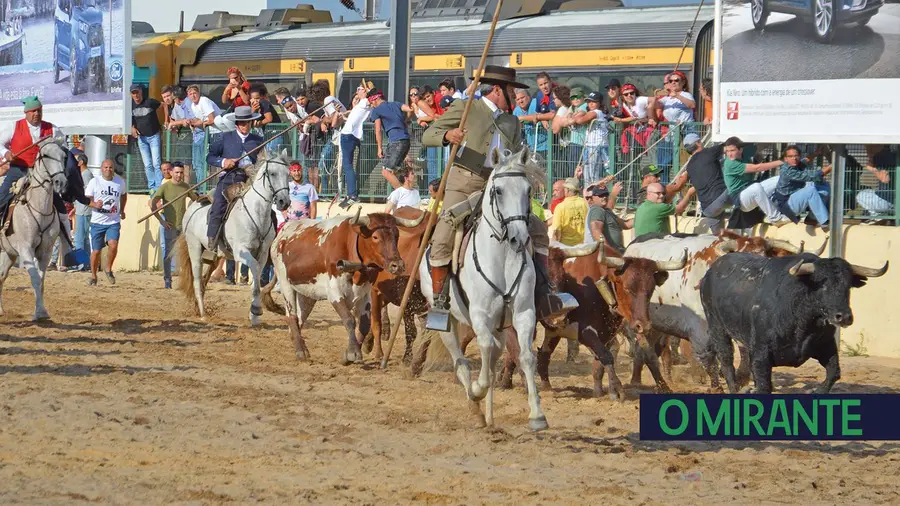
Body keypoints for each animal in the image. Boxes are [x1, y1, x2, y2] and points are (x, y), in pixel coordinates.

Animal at [0, 138, 68, 320]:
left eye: (64, 156)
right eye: (45, 155)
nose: (61, 182)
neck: (39, 208)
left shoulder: (45, 251)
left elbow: (41, 280)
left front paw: (41, 311)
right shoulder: (25, 249)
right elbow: (35, 279)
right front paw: (40, 313)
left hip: (7, 254)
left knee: (1, 276)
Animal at [180, 148, 296, 326]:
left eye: (288, 174)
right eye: (272, 173)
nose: (284, 202)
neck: (256, 214)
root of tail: (192, 206)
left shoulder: (263, 254)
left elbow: (257, 276)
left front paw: (254, 315)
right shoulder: (241, 251)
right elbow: (254, 270)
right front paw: (256, 309)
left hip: (214, 256)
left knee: (205, 279)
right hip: (194, 249)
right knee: (197, 281)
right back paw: (203, 313)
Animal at [262, 209, 428, 364]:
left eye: (397, 235)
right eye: (375, 237)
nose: (397, 265)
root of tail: (282, 234)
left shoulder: (365, 293)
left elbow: (364, 324)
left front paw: (355, 351)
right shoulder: (334, 292)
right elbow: (349, 319)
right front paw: (353, 353)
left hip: (308, 293)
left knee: (300, 319)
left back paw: (301, 346)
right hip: (286, 284)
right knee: (292, 316)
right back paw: (300, 351)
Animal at [420, 145, 548, 430]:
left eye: (528, 190)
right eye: (498, 191)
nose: (520, 238)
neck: (502, 256)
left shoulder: (524, 313)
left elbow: (526, 357)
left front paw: (537, 414)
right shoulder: (479, 314)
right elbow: (485, 348)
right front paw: (478, 389)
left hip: (501, 323)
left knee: (495, 352)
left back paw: (487, 414)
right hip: (447, 322)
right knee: (461, 361)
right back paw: (476, 407)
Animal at [696, 253, 884, 396]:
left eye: (848, 287)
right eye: (822, 285)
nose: (843, 317)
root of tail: (709, 272)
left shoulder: (826, 345)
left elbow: (834, 373)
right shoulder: (761, 352)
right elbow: (764, 386)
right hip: (717, 326)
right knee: (726, 359)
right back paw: (734, 388)